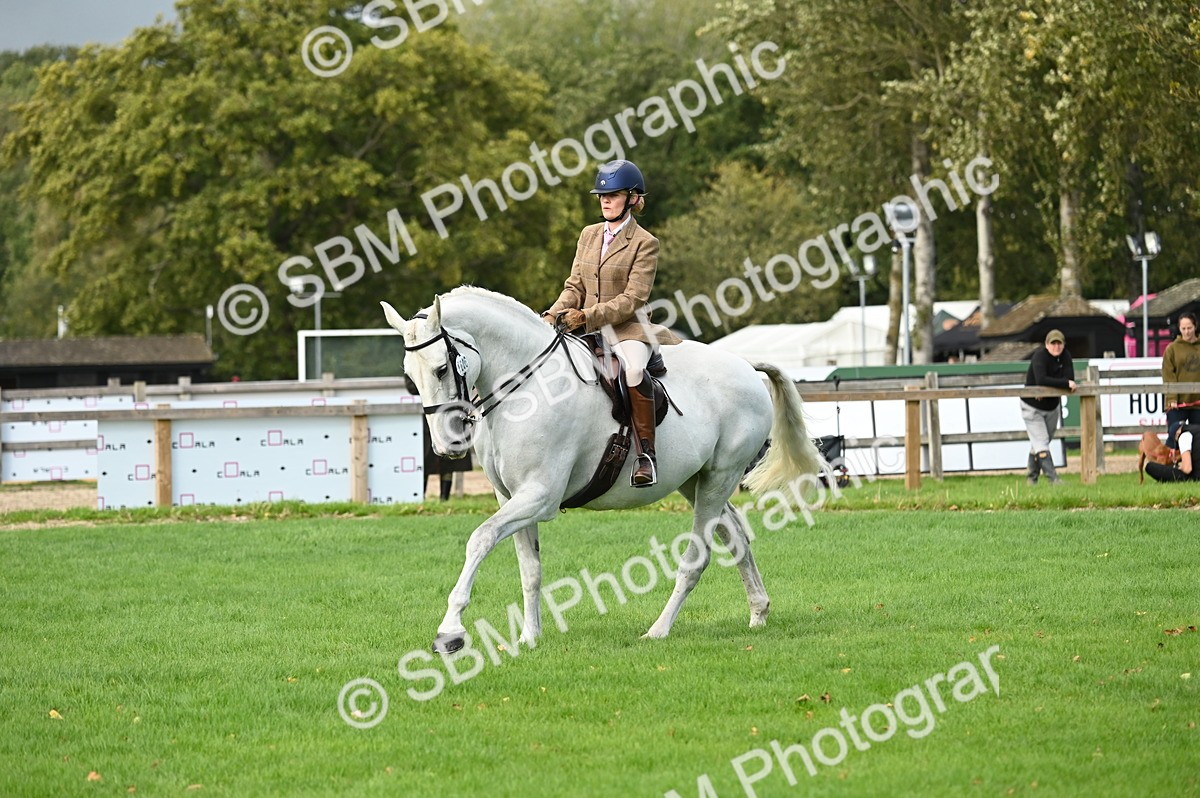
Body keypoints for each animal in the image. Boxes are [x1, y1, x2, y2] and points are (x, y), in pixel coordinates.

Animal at [381, 287, 824, 653]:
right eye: (409, 376)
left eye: (441, 369)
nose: (446, 444)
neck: (528, 388)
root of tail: (745, 366)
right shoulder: (511, 496)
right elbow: (530, 569)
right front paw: (529, 637)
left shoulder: (540, 496)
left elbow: (480, 539)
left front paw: (450, 632)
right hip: (695, 481)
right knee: (736, 537)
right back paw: (758, 612)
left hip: (720, 478)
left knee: (696, 557)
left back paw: (658, 630)